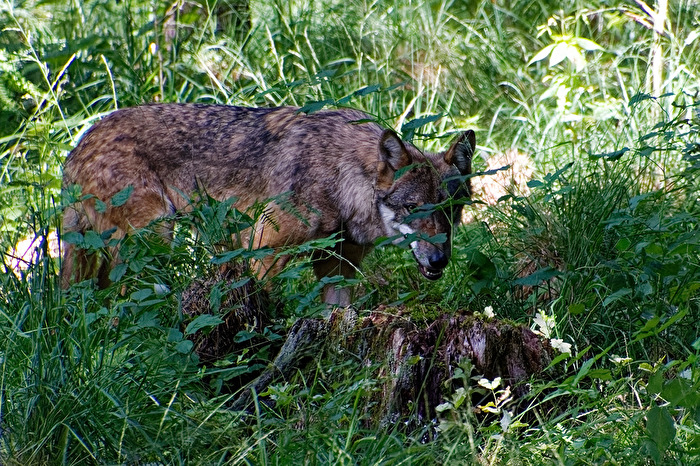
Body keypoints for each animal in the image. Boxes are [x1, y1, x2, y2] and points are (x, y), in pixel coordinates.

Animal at [61, 104, 475, 305]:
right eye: (414, 208)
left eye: (451, 211)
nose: (440, 261)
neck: (342, 176)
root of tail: (79, 144)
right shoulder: (262, 252)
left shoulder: (339, 268)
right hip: (154, 240)